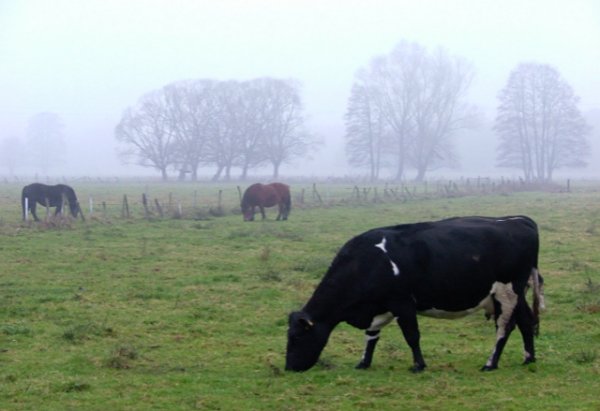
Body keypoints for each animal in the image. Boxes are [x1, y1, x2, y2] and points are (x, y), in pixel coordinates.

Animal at [286, 217, 544, 374]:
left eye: (297, 337)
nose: (289, 367)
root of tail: (519, 220)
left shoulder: (402, 302)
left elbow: (412, 335)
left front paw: (418, 365)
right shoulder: (378, 306)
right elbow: (371, 336)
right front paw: (363, 362)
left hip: (506, 292)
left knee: (504, 327)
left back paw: (490, 363)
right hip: (517, 294)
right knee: (526, 321)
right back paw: (529, 358)